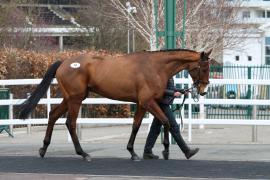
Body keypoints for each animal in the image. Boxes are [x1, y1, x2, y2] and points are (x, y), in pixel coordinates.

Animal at [20, 48, 212, 161]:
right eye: (203, 68)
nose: (203, 90)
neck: (155, 67)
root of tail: (64, 63)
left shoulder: (141, 104)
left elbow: (136, 126)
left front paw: (133, 152)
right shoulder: (147, 101)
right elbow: (165, 121)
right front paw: (166, 151)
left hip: (70, 98)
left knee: (53, 115)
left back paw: (43, 149)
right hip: (75, 99)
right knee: (70, 123)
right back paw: (83, 154)